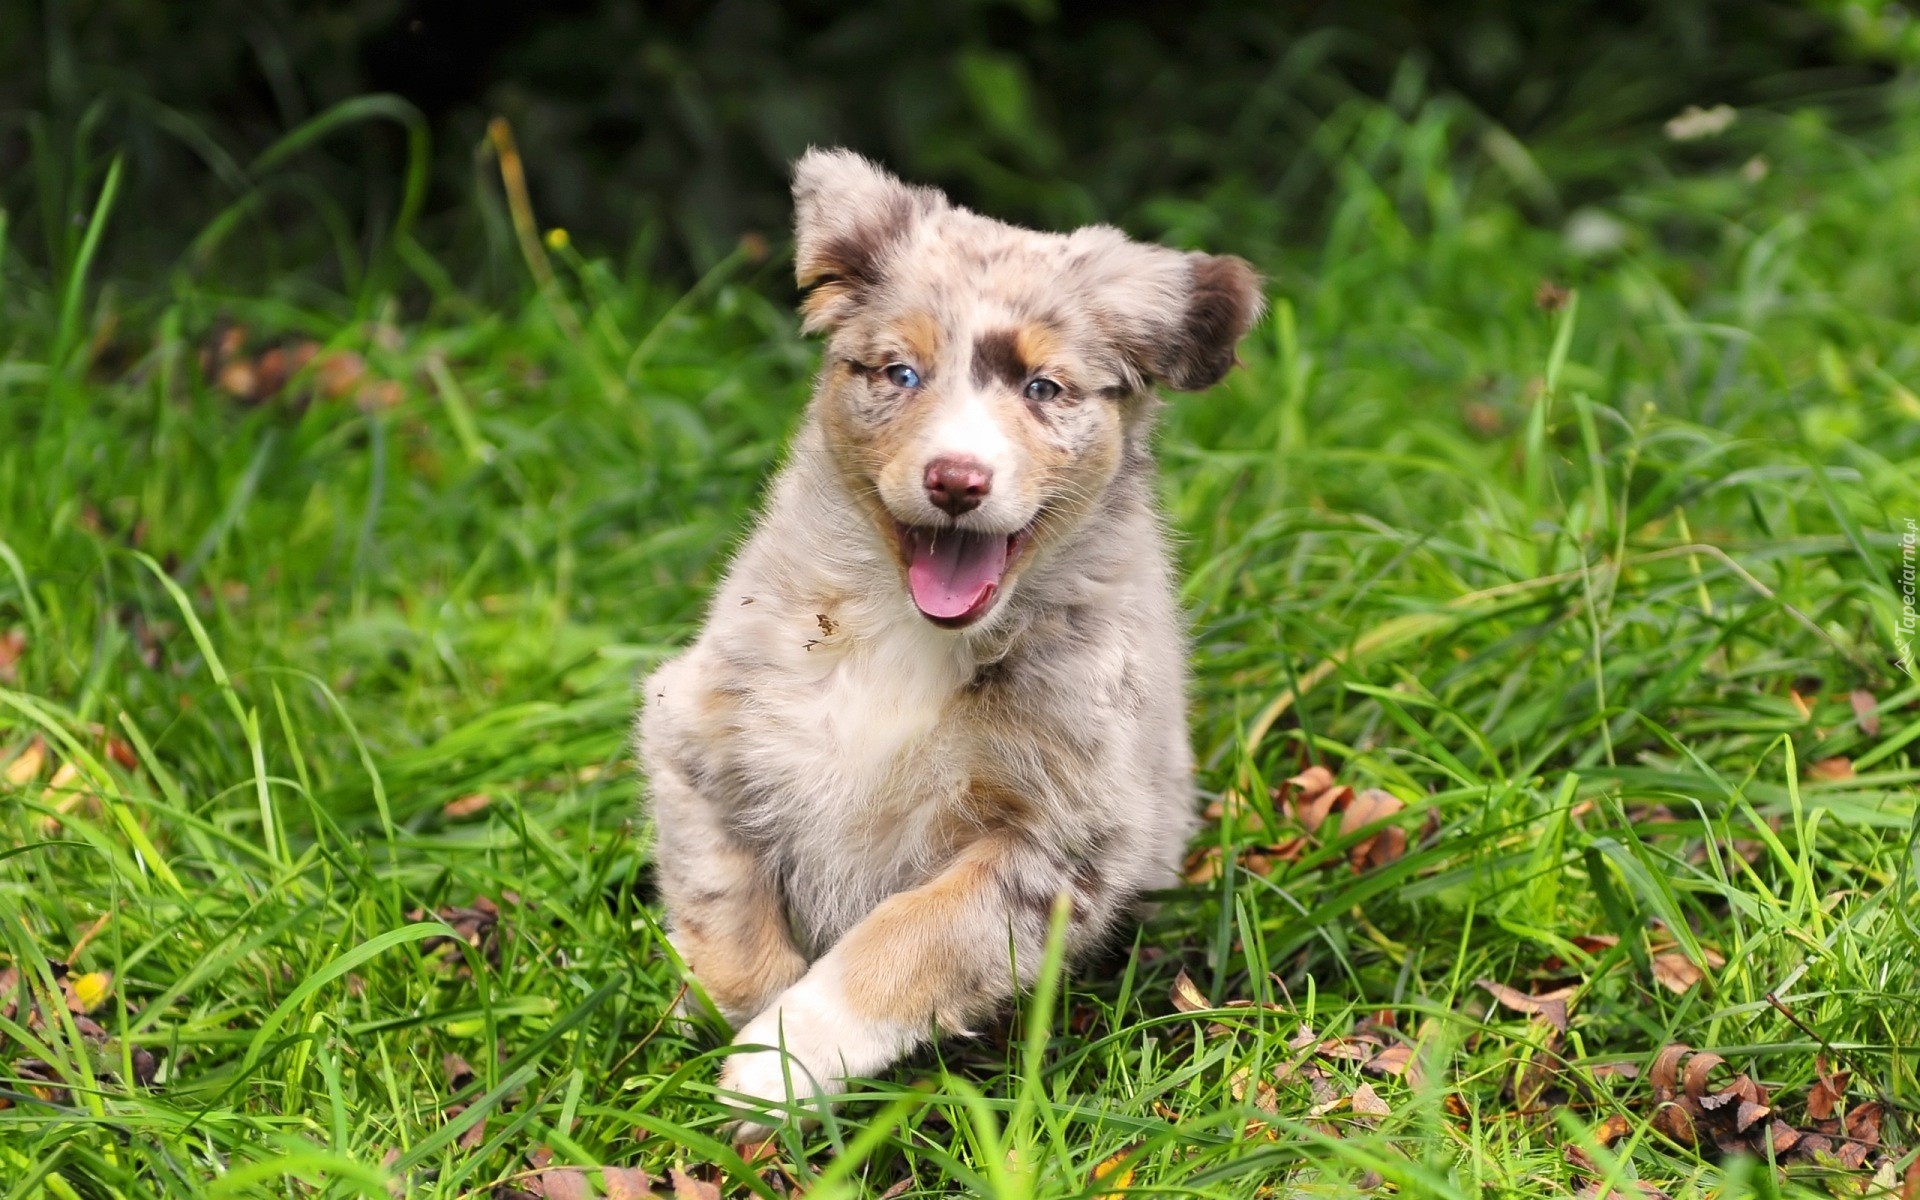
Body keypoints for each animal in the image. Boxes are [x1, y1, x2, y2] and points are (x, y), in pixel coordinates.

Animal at [641, 147, 1259, 1121]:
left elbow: (911, 938)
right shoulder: (695, 727)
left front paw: (780, 1062)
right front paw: (741, 1029)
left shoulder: (1056, 841)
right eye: (901, 374)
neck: (905, 633)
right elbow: (722, 901)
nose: (957, 480)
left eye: (1044, 389)